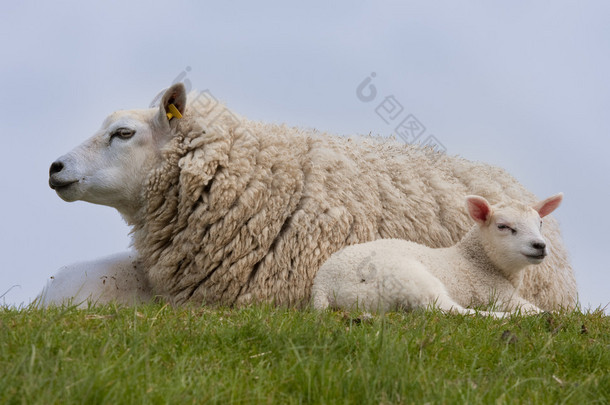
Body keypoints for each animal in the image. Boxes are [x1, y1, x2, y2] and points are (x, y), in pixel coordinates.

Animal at [314, 193, 560, 316]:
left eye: (540, 223)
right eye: (503, 226)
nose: (539, 245)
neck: (476, 261)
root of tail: (322, 286)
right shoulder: (495, 294)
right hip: (409, 278)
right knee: (446, 309)